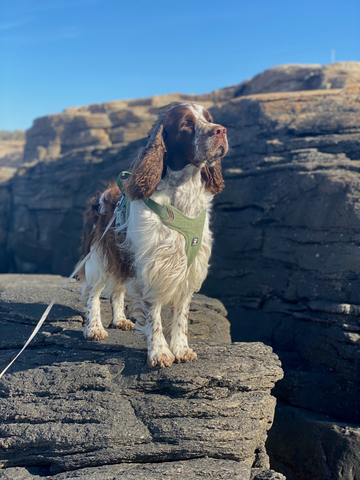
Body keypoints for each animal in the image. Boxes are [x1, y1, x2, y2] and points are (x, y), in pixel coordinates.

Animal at [80, 102, 229, 368]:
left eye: (209, 118)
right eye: (186, 124)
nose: (221, 130)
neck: (182, 197)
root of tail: (101, 194)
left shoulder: (187, 267)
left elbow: (181, 315)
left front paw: (181, 349)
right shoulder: (152, 266)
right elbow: (154, 315)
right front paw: (159, 352)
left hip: (123, 256)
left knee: (117, 289)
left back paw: (120, 319)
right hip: (98, 255)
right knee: (93, 293)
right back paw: (94, 328)